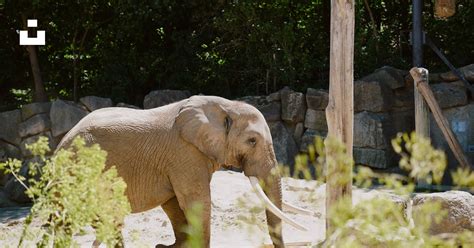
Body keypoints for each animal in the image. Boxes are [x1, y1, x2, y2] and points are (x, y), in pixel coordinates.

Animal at [56, 95, 308, 248]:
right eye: (252, 141)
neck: (225, 105)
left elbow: (174, 204)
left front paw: (169, 246)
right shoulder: (184, 154)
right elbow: (194, 202)